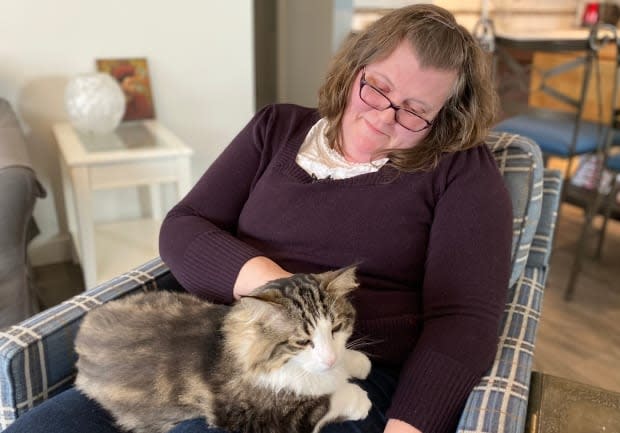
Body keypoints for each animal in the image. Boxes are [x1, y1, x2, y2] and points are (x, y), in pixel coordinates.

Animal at [74, 264, 372, 432]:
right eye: (302, 342)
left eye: (336, 328)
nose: (330, 359)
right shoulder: (249, 415)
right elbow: (320, 406)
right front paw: (357, 398)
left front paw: (355, 361)